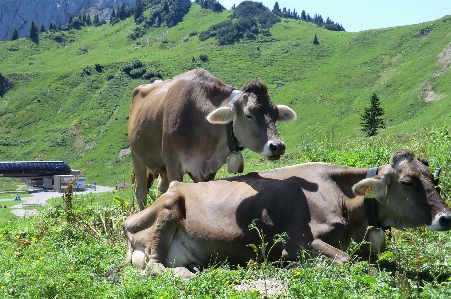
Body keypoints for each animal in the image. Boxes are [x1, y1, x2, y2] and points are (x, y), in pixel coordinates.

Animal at [119, 150, 451, 276]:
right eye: (407, 182)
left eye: (433, 179)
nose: (446, 217)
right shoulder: (297, 241)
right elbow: (345, 260)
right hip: (169, 206)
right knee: (154, 265)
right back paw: (183, 274)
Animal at [128, 69, 296, 211]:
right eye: (249, 115)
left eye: (275, 115)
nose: (278, 146)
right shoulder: (173, 164)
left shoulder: (209, 170)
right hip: (136, 156)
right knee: (141, 191)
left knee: (160, 189)